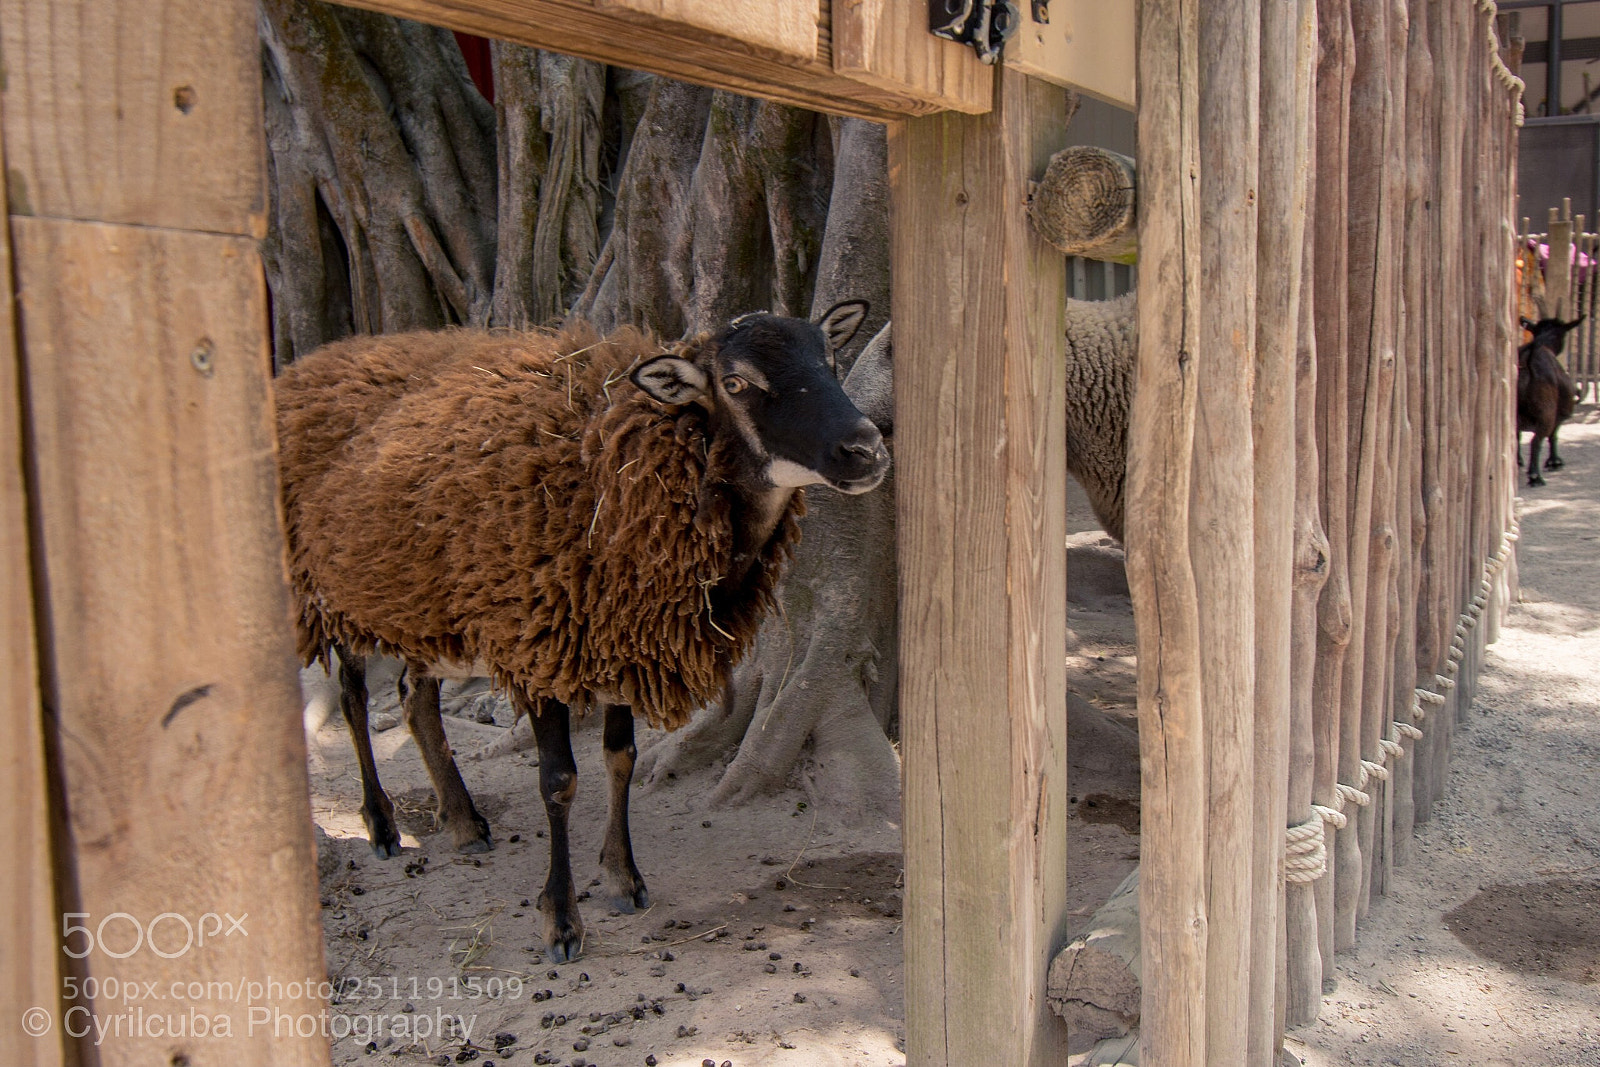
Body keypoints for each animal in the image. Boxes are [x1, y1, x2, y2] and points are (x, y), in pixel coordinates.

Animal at [276, 303, 888, 961]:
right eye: (737, 383)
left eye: (830, 358)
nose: (867, 449)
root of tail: (313, 362)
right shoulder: (538, 645)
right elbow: (560, 783)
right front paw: (561, 920)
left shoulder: (622, 639)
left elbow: (621, 760)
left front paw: (622, 878)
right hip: (332, 594)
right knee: (354, 700)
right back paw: (383, 825)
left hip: (424, 604)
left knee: (416, 702)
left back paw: (464, 822)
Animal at [1517, 315, 1583, 487]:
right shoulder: (1561, 412)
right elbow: (1554, 434)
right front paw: (1554, 462)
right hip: (1545, 412)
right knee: (1536, 440)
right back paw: (1535, 476)